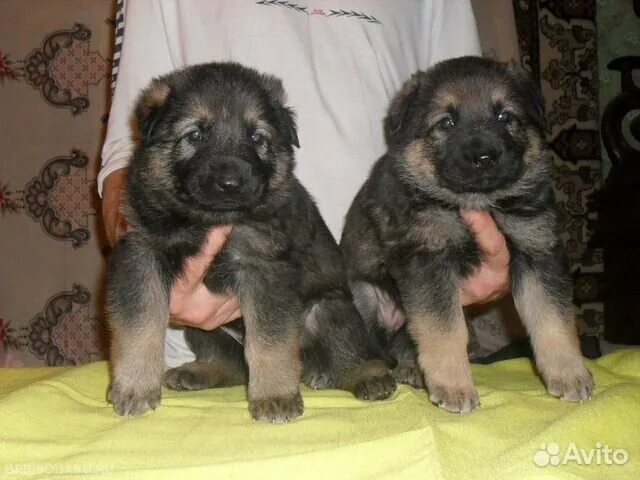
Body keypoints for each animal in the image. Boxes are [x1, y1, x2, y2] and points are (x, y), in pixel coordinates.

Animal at [105, 61, 396, 424]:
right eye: (195, 135)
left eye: (257, 138)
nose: (230, 183)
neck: (204, 219)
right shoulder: (143, 256)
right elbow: (140, 323)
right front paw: (134, 387)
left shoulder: (263, 268)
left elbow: (270, 342)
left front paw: (275, 396)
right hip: (203, 328)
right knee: (231, 364)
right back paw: (202, 371)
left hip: (328, 310)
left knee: (349, 354)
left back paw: (363, 375)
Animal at [340, 56, 596, 412]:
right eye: (446, 123)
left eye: (505, 116)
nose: (484, 157)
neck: (478, 201)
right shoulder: (426, 259)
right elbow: (444, 329)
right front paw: (454, 386)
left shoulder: (538, 249)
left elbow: (553, 319)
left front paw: (569, 373)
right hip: (365, 296)